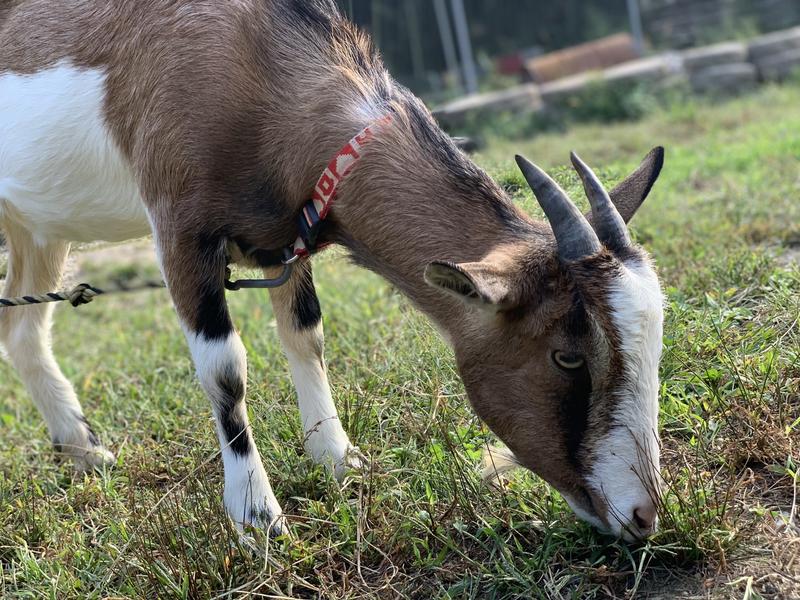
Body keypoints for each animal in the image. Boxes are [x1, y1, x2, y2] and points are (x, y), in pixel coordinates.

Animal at [0, 0, 664, 540]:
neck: (259, 64)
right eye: (568, 356)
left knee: (21, 329)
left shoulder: (283, 236)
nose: (642, 516)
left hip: (35, 228)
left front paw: (339, 459)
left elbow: (307, 334)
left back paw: (85, 451)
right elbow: (225, 368)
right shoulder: (180, 228)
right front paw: (257, 517)